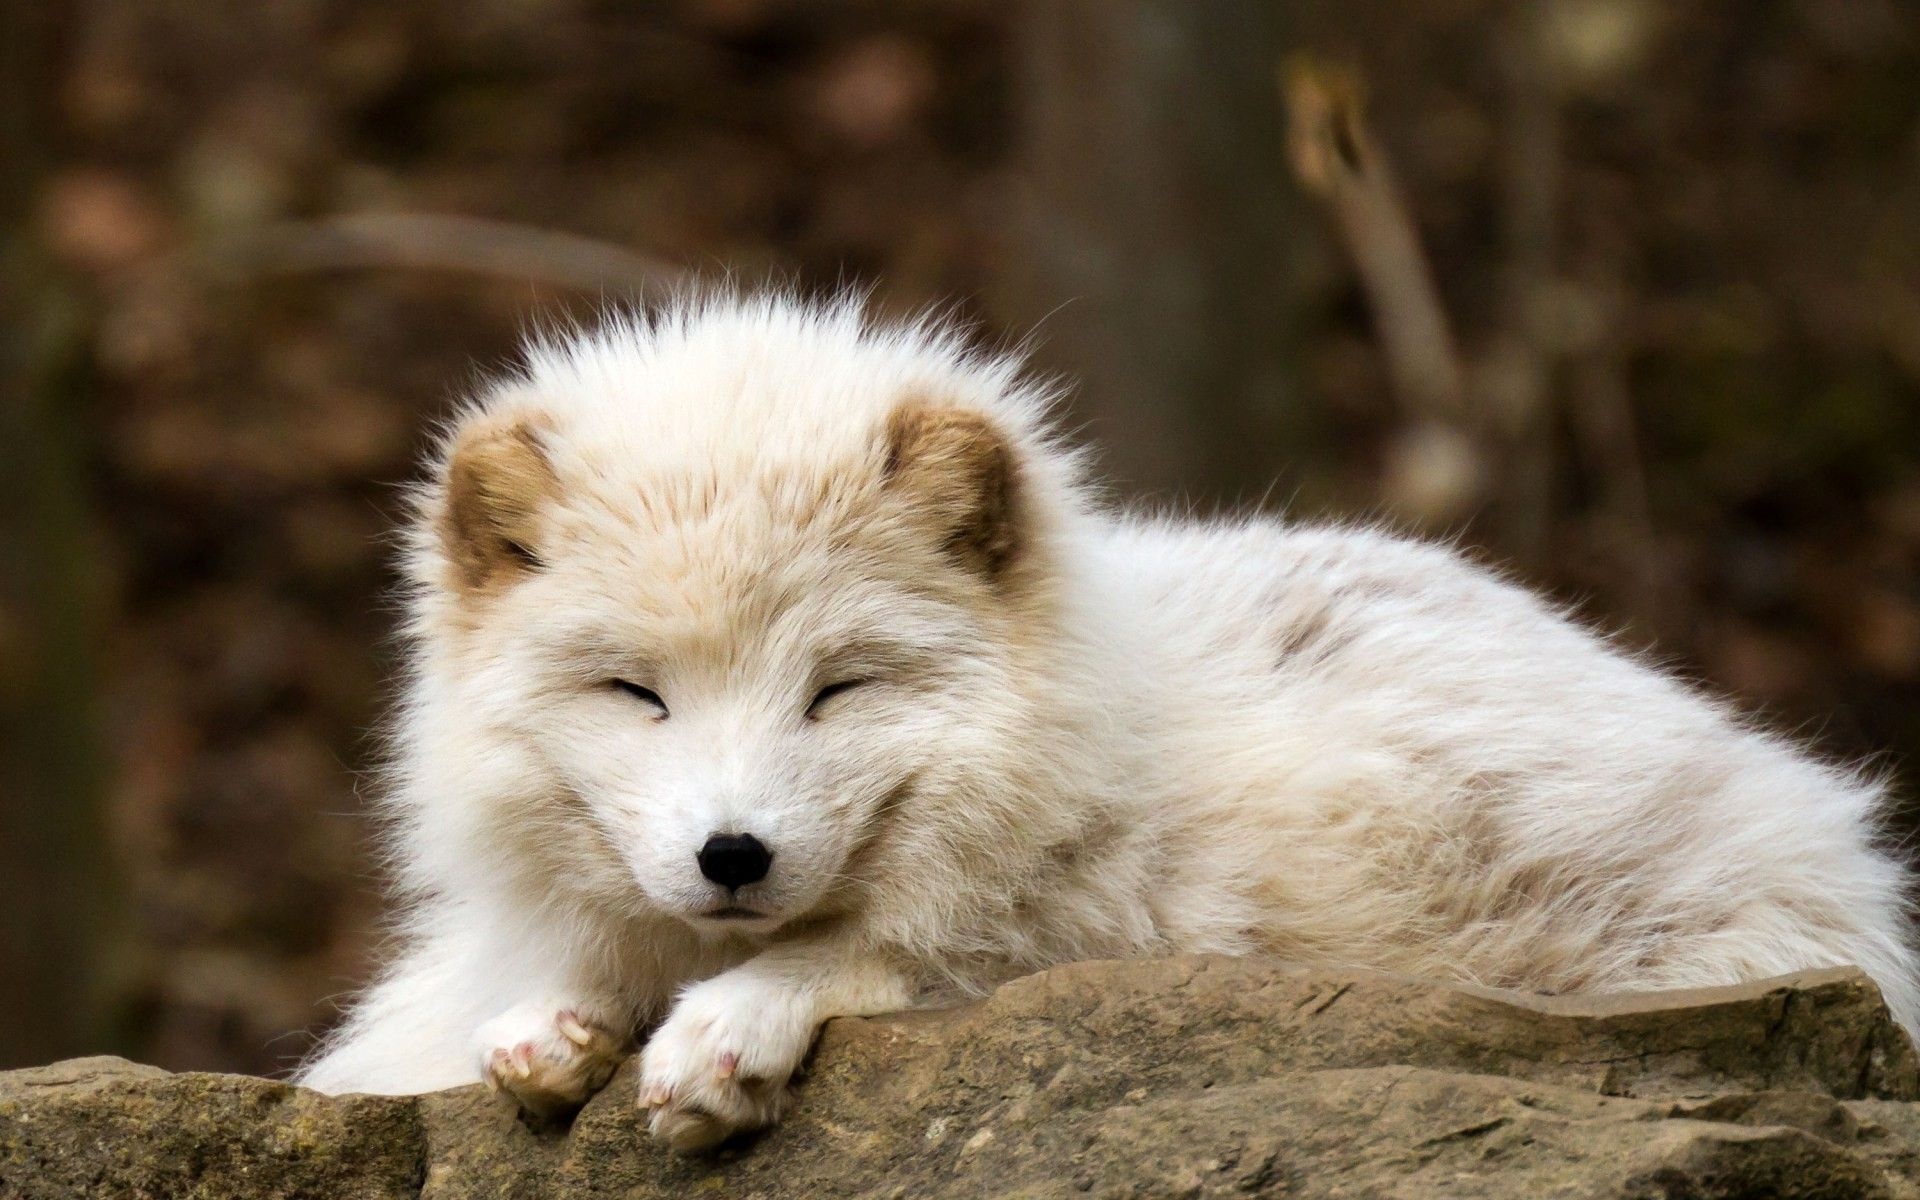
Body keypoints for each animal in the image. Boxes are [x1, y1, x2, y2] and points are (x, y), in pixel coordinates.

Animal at [291, 291, 1912, 1152]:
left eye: (840, 686)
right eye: (638, 693)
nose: (732, 856)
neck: (1092, 724)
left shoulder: (1131, 925)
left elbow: (898, 954)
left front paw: (728, 1034)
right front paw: (554, 1022)